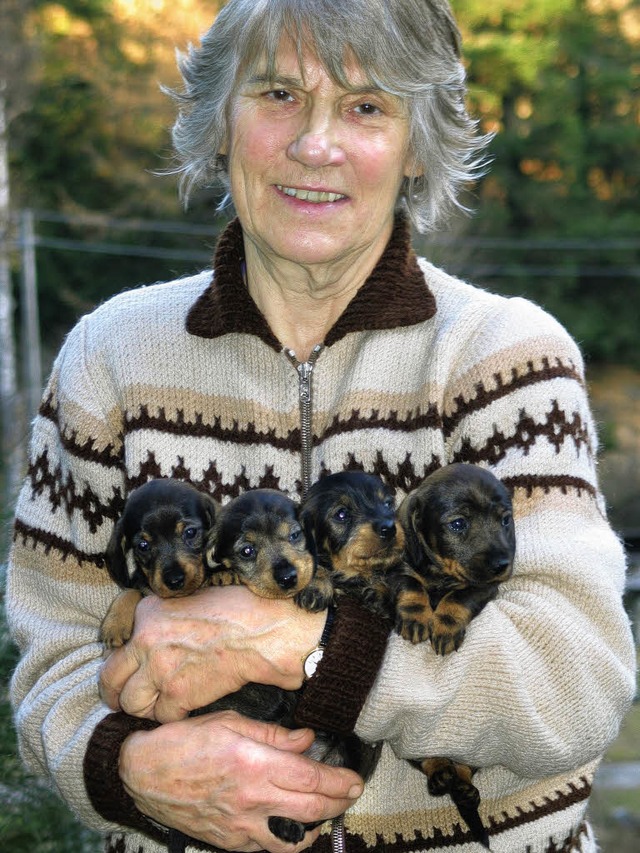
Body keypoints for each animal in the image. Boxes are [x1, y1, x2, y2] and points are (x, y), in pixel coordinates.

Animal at [398, 462, 516, 848]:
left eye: (505, 520)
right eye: (458, 523)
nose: (502, 563)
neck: (441, 575)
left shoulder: (483, 588)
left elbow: (459, 597)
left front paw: (446, 624)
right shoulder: (395, 570)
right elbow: (411, 583)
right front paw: (416, 615)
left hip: (472, 749)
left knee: (464, 768)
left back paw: (462, 788)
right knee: (430, 763)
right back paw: (440, 778)